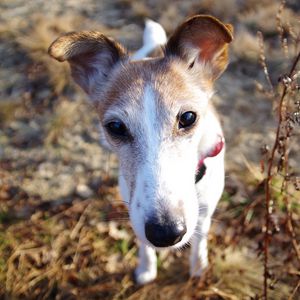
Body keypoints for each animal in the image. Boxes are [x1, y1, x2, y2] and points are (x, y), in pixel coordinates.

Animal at [48, 15, 232, 284]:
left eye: (188, 117)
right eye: (115, 127)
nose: (166, 233)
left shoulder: (205, 210)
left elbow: (199, 240)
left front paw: (198, 267)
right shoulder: (133, 207)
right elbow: (143, 244)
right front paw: (147, 268)